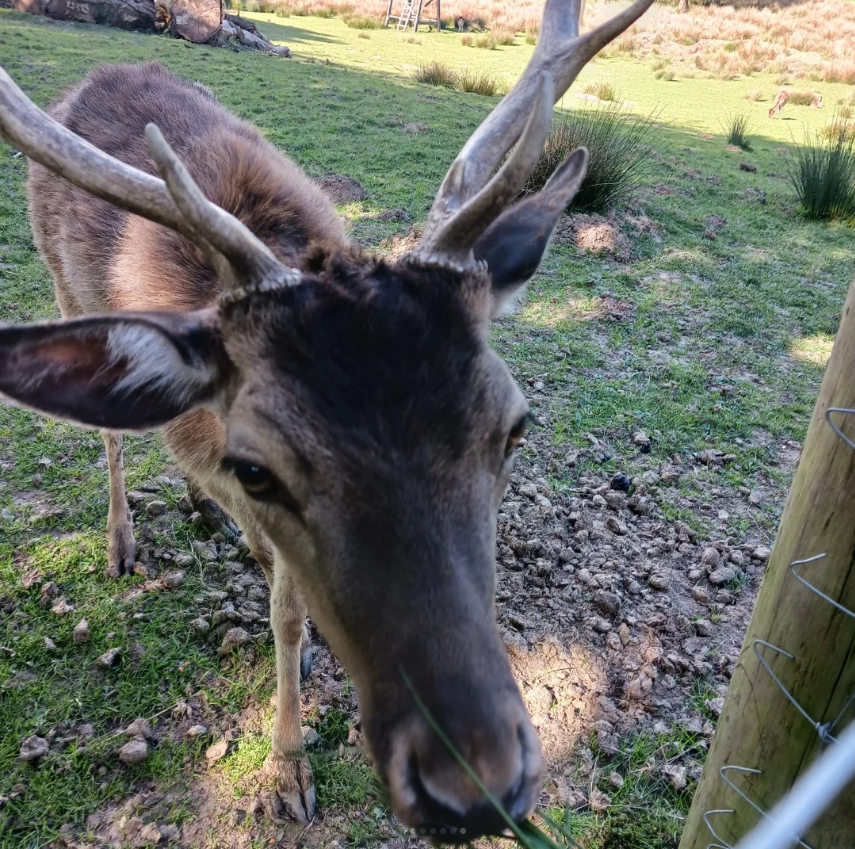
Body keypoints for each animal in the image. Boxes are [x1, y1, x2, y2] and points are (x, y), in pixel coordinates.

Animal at [0, 0, 653, 838]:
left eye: (514, 427)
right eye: (259, 467)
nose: (473, 786)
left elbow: (284, 592)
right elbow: (281, 609)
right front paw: (286, 771)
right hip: (60, 281)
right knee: (111, 433)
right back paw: (123, 541)